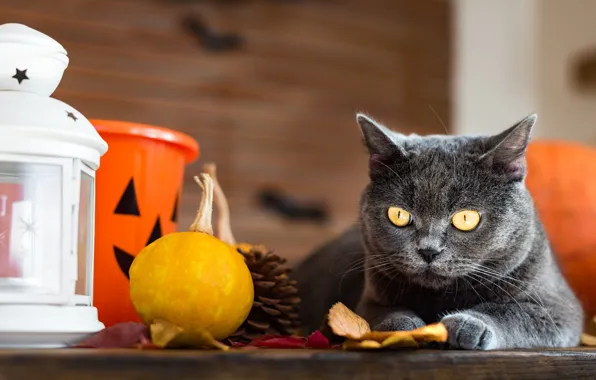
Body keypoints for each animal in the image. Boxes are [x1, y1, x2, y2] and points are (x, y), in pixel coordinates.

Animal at [296, 113, 584, 350]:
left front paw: (469, 324)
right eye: (399, 215)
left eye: (466, 218)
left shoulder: (560, 309)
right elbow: (380, 314)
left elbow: (513, 312)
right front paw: (403, 329)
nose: (428, 250)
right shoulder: (369, 299)